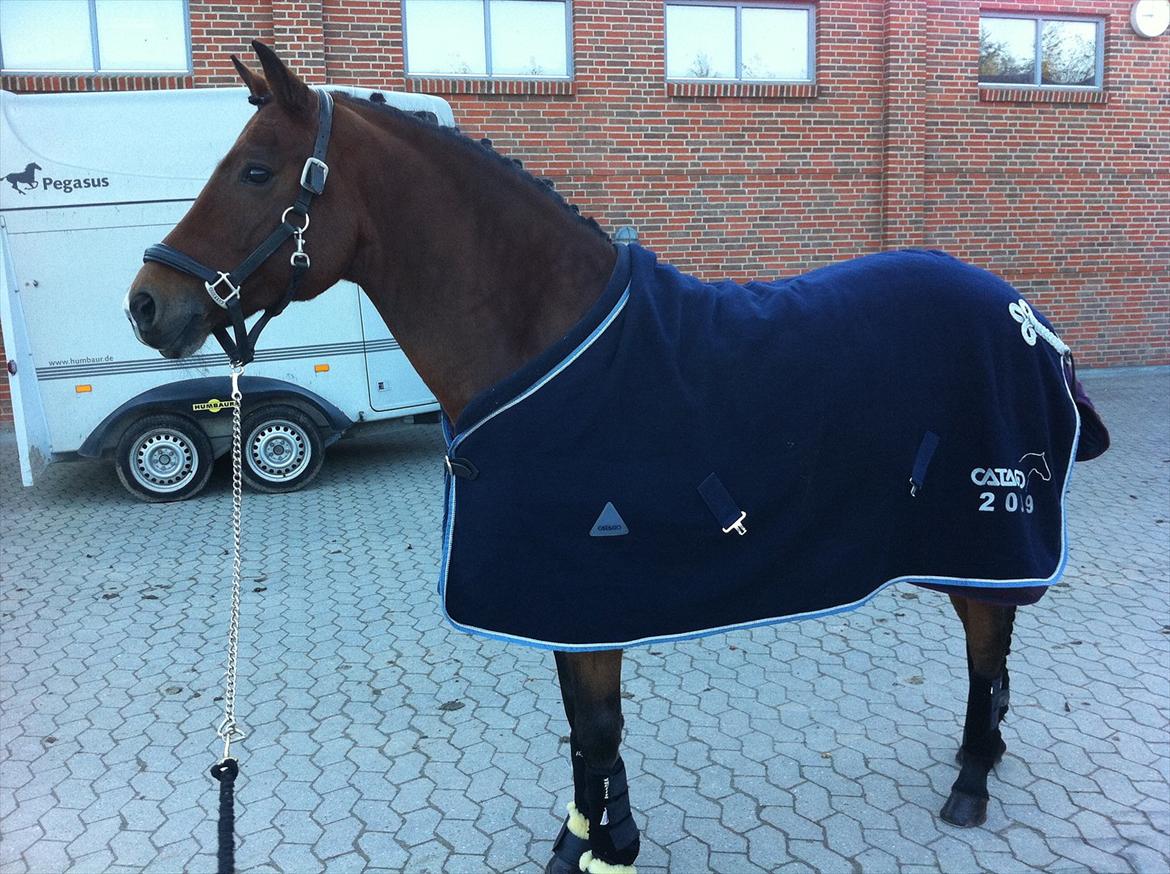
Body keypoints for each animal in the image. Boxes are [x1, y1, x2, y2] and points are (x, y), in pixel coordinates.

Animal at [125, 42, 1109, 873]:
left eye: (256, 170)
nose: (146, 303)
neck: (544, 336)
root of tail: (1027, 316)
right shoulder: (568, 599)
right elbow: (583, 729)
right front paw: (589, 837)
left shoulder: (588, 586)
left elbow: (597, 729)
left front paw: (608, 847)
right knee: (993, 652)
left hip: (988, 533)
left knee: (987, 648)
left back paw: (971, 781)